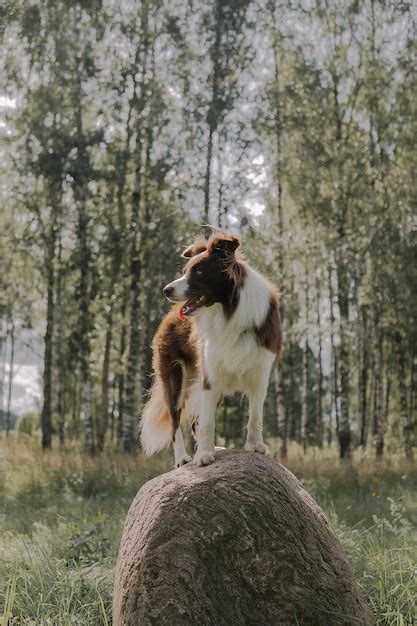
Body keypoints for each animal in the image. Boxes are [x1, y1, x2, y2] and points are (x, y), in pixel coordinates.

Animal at [138, 229, 282, 464]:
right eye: (184, 271)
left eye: (198, 272)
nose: (166, 290)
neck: (230, 310)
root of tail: (169, 317)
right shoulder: (210, 373)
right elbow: (207, 422)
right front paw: (204, 455)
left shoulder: (261, 371)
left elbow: (255, 415)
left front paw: (255, 446)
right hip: (174, 377)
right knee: (176, 421)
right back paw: (183, 458)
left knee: (194, 422)